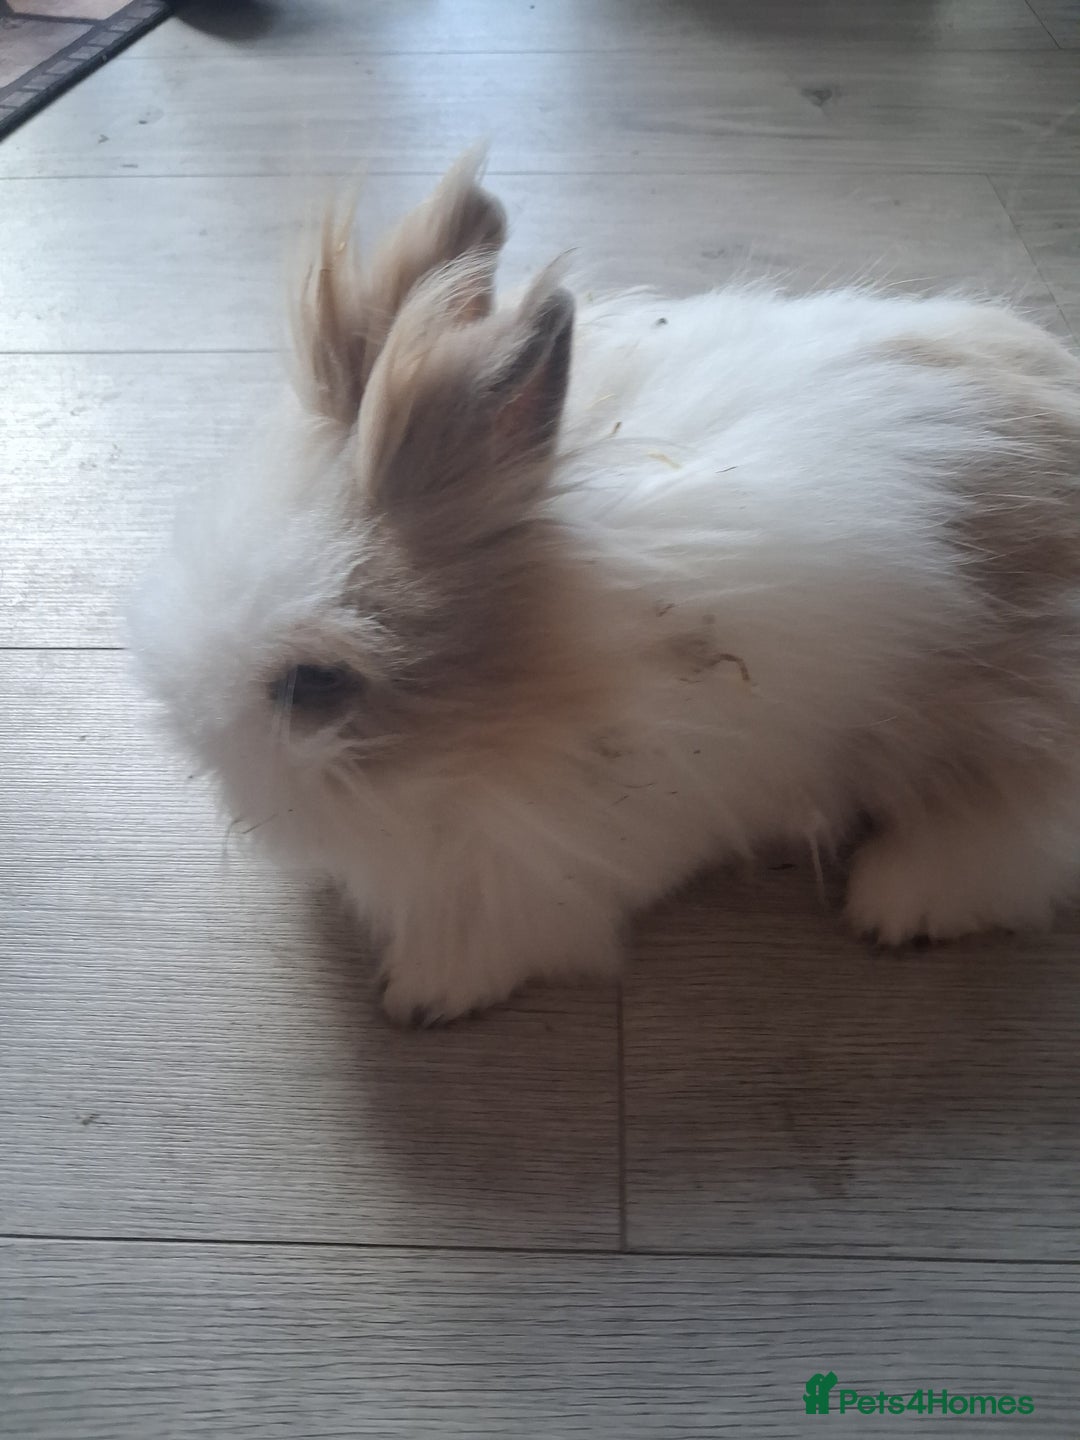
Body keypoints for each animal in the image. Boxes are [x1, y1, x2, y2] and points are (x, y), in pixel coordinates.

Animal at [131, 153, 1080, 1026]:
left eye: (313, 684)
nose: (200, 747)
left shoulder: (539, 866)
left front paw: (423, 993)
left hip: (1009, 727)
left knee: (1015, 844)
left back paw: (897, 904)